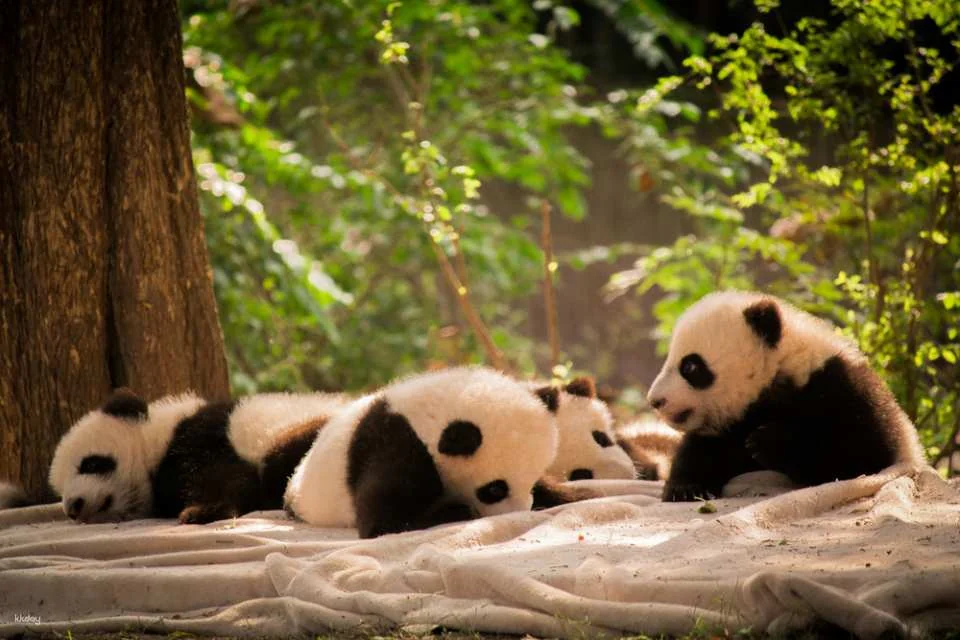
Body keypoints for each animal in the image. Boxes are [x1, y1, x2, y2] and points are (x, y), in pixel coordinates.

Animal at [48, 388, 350, 524]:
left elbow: (221, 476)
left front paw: (204, 511)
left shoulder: (202, 435)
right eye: (59, 491)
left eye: (91, 463)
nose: (73, 506)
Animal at [284, 366, 563, 538]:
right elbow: (384, 523)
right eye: (495, 490)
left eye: (530, 483)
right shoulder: (397, 443)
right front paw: (457, 511)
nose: (519, 513)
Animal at [647, 291, 925, 502]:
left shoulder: (843, 389)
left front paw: (768, 441)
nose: (655, 401)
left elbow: (863, 454)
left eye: (690, 367)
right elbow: (702, 448)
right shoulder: (730, 422)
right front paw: (686, 488)